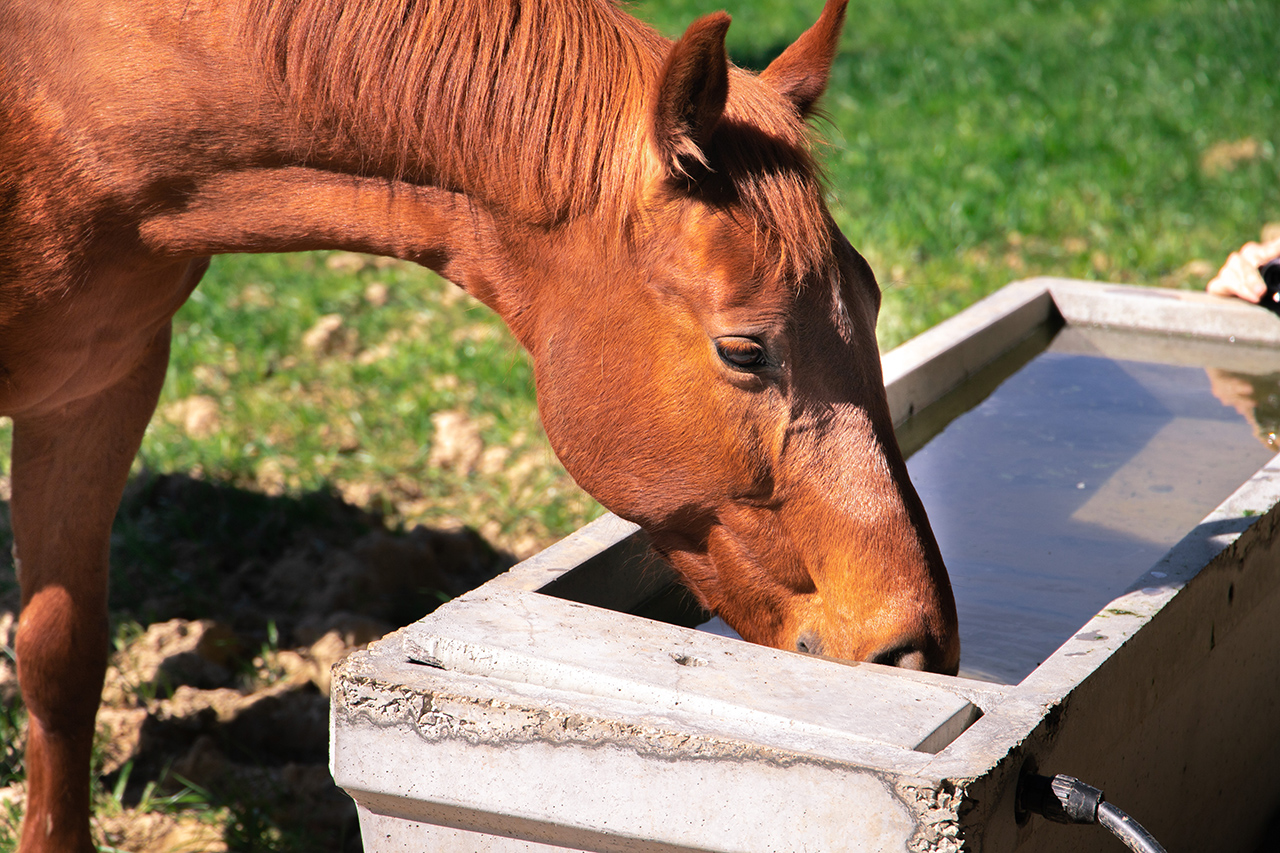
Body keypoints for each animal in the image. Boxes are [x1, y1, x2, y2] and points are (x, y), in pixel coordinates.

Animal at [2, 1, 962, 845]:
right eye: (745, 350)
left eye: (873, 299)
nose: (917, 651)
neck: (62, 90)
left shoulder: (101, 386)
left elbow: (60, 655)